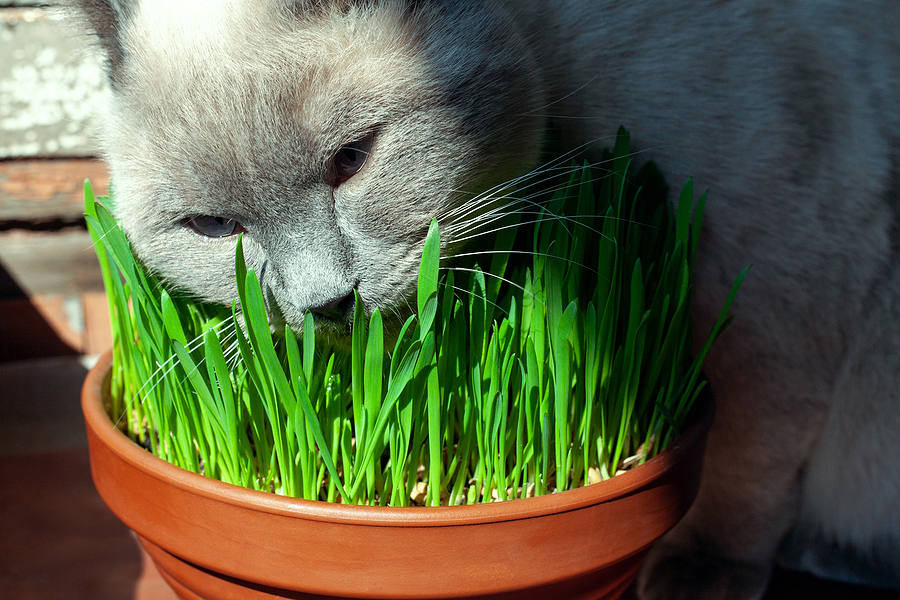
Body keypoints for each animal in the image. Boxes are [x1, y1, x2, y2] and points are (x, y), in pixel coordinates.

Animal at [72, 1, 900, 600]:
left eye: (352, 160)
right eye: (215, 228)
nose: (328, 300)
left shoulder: (776, 285)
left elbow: (743, 455)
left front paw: (704, 573)